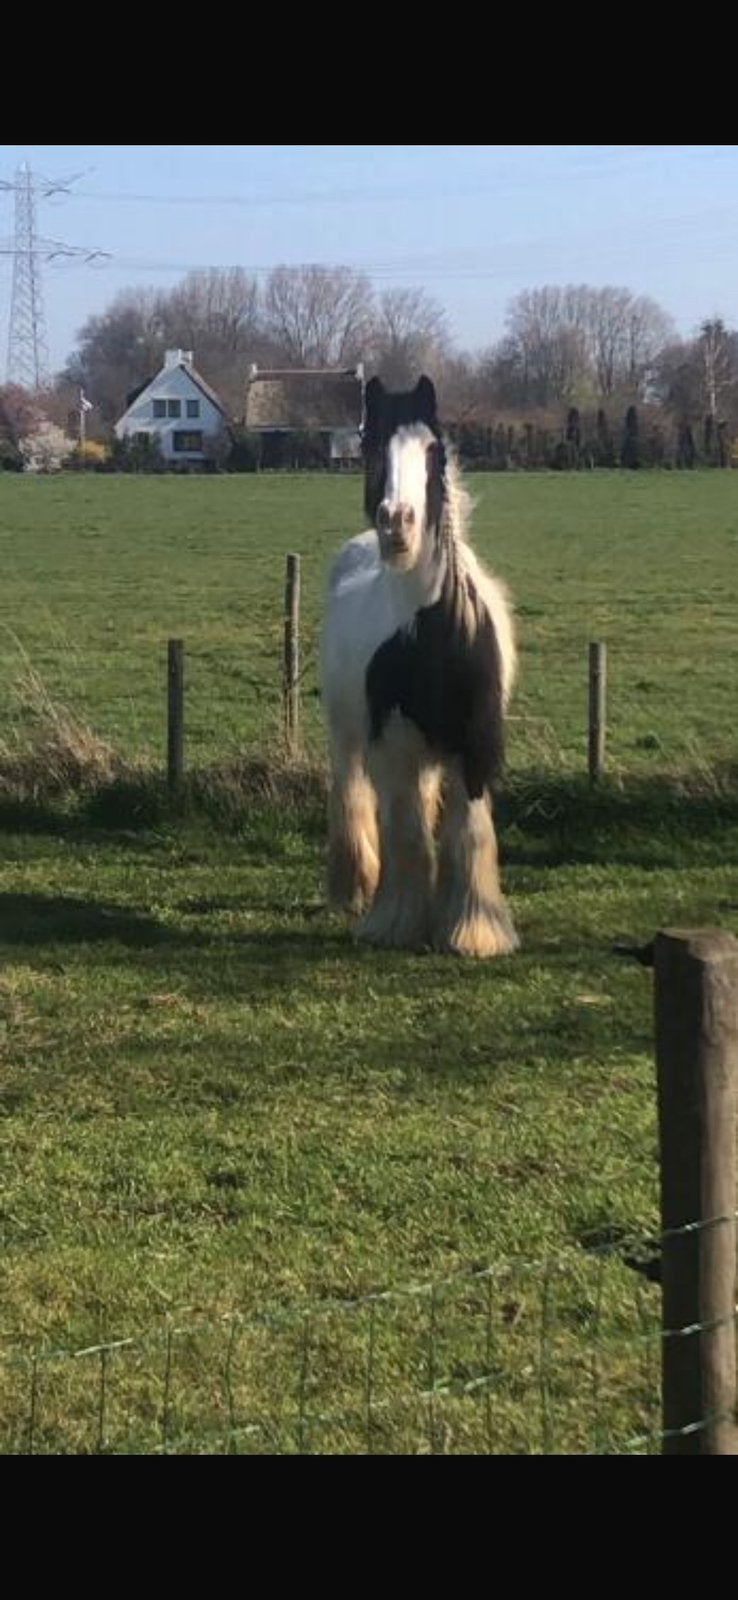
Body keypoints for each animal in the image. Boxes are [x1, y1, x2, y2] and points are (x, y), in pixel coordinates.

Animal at [321, 374, 518, 958]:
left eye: (432, 452)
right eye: (370, 447)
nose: (397, 523)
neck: (433, 635)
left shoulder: (474, 745)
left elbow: (468, 832)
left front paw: (475, 931)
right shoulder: (393, 742)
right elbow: (405, 833)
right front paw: (396, 922)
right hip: (347, 733)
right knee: (351, 796)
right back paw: (353, 886)